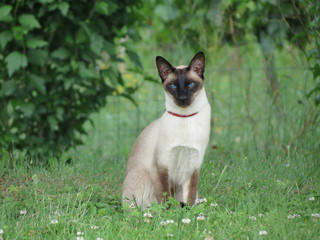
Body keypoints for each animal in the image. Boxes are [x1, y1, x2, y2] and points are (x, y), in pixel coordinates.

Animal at [122, 51, 210, 209]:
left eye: (191, 84)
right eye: (173, 86)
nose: (182, 98)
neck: (185, 117)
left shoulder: (193, 165)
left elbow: (190, 196)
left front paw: (189, 213)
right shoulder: (161, 167)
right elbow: (165, 198)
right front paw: (170, 214)